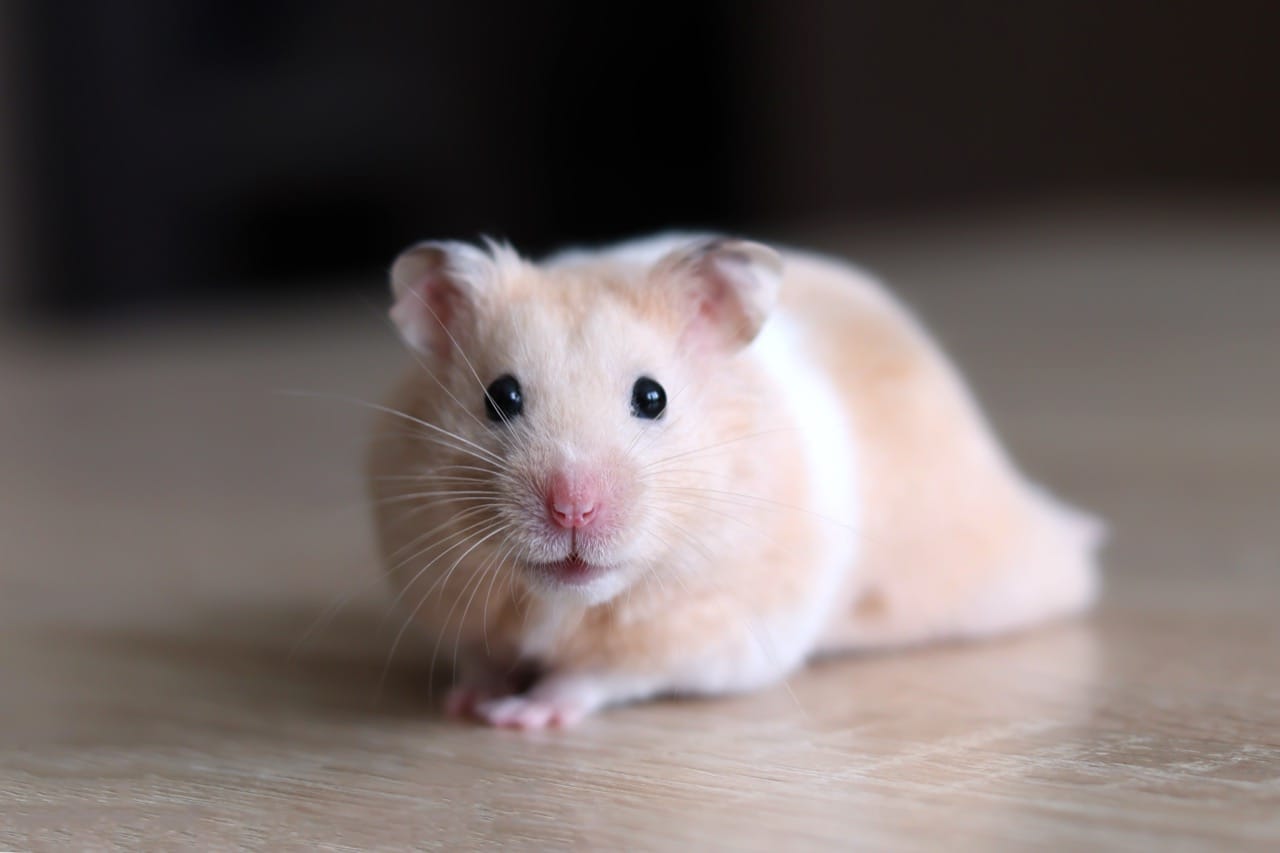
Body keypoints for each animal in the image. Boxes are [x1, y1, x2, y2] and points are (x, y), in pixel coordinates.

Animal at [366, 234, 1103, 729]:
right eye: (500, 397)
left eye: (653, 397)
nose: (572, 510)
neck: (566, 602)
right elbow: (479, 655)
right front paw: (467, 701)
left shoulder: (711, 634)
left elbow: (596, 675)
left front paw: (521, 716)